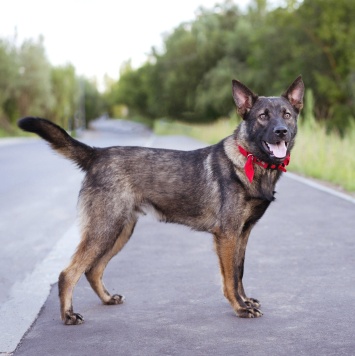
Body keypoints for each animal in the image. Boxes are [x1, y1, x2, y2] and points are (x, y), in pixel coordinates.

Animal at [18, 76, 304, 324]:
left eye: (287, 115)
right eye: (263, 116)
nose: (281, 132)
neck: (249, 160)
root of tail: (97, 154)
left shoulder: (243, 234)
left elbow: (240, 272)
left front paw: (245, 301)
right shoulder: (228, 235)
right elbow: (230, 278)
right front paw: (240, 308)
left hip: (120, 231)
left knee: (93, 270)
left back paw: (107, 299)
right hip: (104, 230)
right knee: (68, 273)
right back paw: (68, 316)